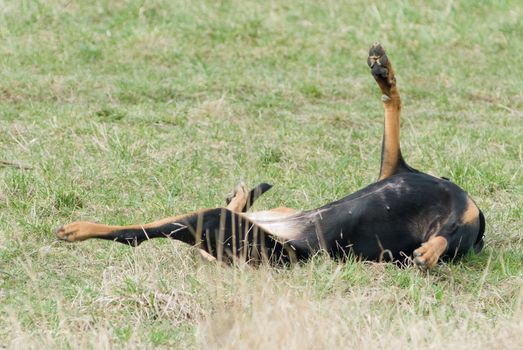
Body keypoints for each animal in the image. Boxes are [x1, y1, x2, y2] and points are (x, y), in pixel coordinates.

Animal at [55, 43, 486, 268]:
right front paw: (384, 74)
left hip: (223, 226)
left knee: (136, 233)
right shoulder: (393, 168)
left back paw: (81, 229)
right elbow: (392, 109)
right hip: (260, 218)